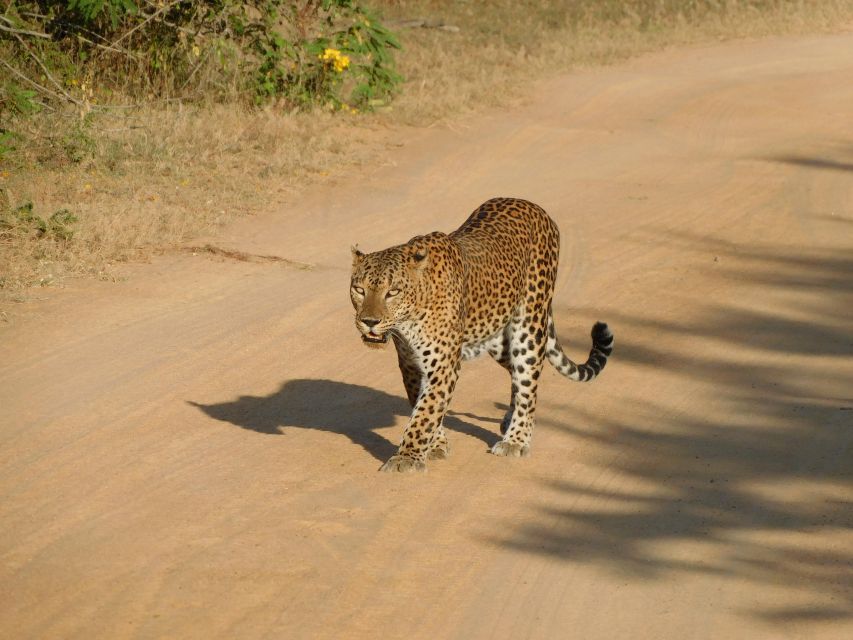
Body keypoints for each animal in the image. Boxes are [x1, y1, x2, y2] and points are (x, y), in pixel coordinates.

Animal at [348, 198, 612, 472]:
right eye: (359, 289)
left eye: (393, 292)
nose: (369, 322)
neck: (410, 318)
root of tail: (531, 205)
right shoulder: (411, 364)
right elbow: (423, 406)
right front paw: (435, 445)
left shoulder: (443, 365)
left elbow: (425, 412)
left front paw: (406, 458)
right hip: (497, 338)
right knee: (515, 373)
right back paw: (508, 420)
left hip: (528, 326)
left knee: (527, 383)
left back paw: (516, 439)